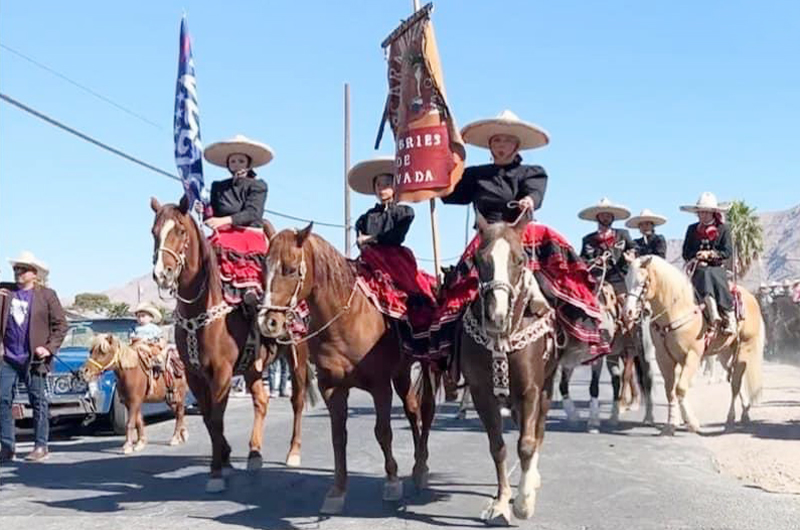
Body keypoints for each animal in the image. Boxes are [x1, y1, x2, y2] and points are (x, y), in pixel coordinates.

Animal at [148, 198, 314, 490]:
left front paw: (216, 472)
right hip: (253, 367)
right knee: (261, 401)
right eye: (153, 232)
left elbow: (216, 417)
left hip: (297, 355)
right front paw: (224, 457)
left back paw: (293, 452)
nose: (162, 274)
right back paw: (254, 454)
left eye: (179, 230)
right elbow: (208, 418)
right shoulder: (194, 375)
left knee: (296, 400)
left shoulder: (222, 372)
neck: (203, 308)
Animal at [256, 225, 434, 512]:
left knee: (425, 410)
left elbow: (383, 432)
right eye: (263, 267)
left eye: (291, 269)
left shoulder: (379, 386)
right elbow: (338, 436)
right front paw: (337, 491)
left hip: (427, 366)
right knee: (412, 409)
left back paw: (421, 468)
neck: (346, 321)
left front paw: (392, 482)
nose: (268, 322)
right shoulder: (332, 388)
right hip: (402, 373)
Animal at [454, 216, 560, 524]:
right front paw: (501, 503)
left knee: (538, 431)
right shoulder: (482, 395)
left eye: (520, 259)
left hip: (547, 387)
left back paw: (532, 479)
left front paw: (523, 503)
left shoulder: (531, 391)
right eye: (479, 260)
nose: (496, 317)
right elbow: (497, 447)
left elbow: (526, 444)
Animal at [620, 255, 764, 434]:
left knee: (736, 383)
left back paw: (731, 420)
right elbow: (671, 390)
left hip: (745, 347)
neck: (676, 311)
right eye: (626, 280)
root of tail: (751, 298)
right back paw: (745, 411)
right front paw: (671, 424)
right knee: (733, 377)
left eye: (642, 282)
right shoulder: (664, 358)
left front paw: (692, 423)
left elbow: (681, 388)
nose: (627, 313)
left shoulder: (692, 355)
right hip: (725, 353)